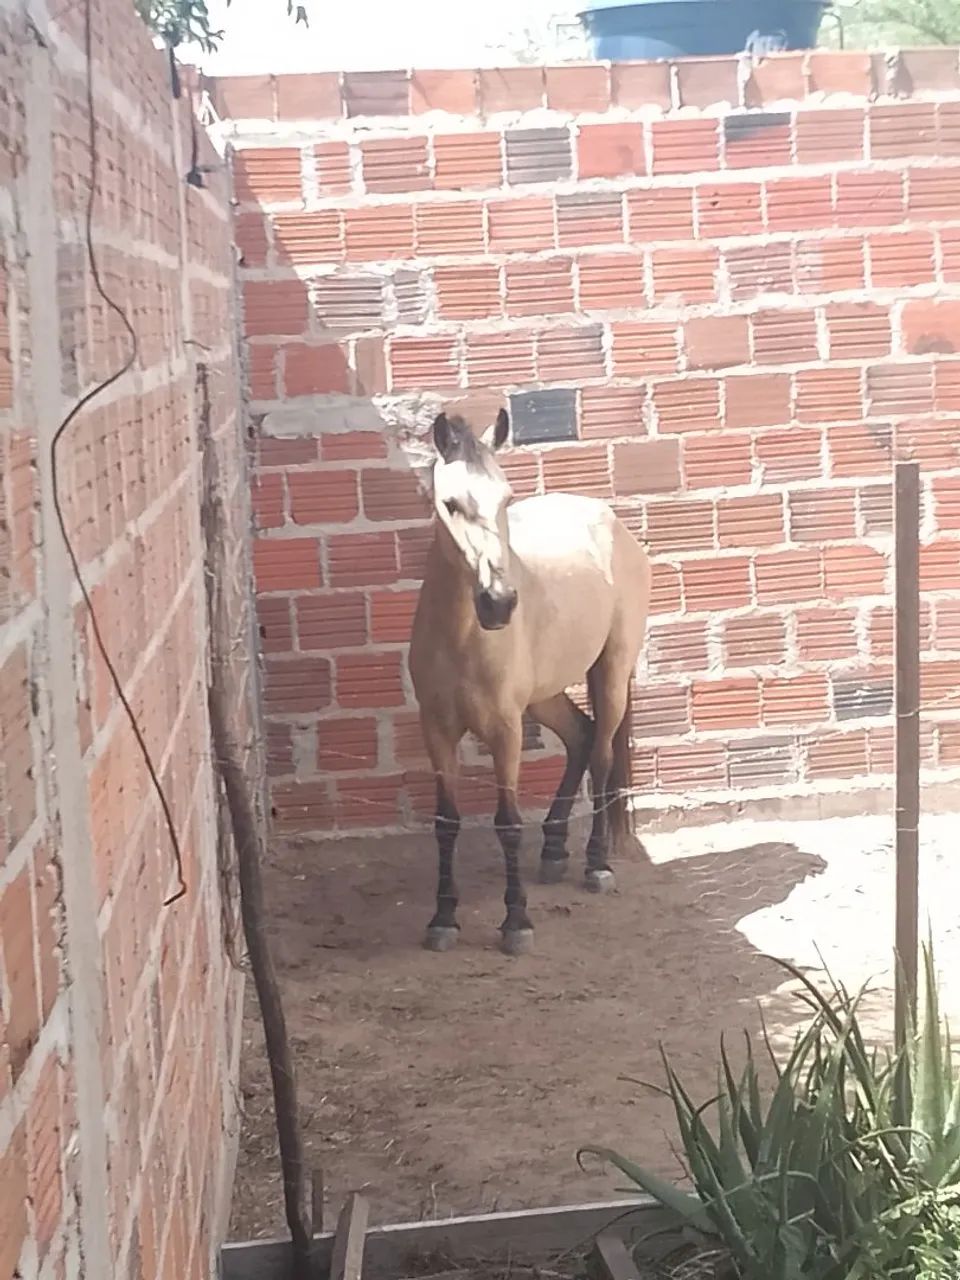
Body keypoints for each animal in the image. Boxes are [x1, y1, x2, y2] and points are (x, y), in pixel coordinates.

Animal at [408, 405, 652, 957]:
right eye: (450, 504)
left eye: (506, 498)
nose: (498, 603)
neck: (461, 636)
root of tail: (611, 522)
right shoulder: (436, 729)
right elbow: (445, 822)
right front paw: (442, 918)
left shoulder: (505, 729)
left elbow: (508, 823)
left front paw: (516, 922)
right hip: (545, 695)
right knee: (580, 735)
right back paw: (556, 850)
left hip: (610, 672)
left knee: (601, 753)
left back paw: (596, 864)